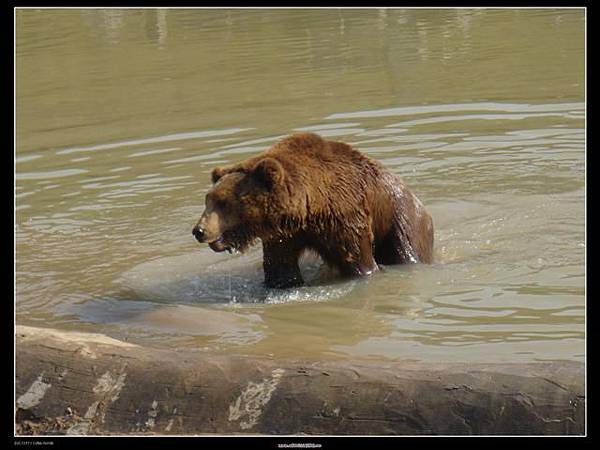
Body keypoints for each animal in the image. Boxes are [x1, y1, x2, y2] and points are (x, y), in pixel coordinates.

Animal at [192, 134, 432, 288]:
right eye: (208, 199)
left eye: (224, 202)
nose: (199, 230)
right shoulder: (284, 234)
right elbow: (280, 266)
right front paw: (280, 283)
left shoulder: (344, 217)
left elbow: (358, 258)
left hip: (399, 218)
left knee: (405, 249)